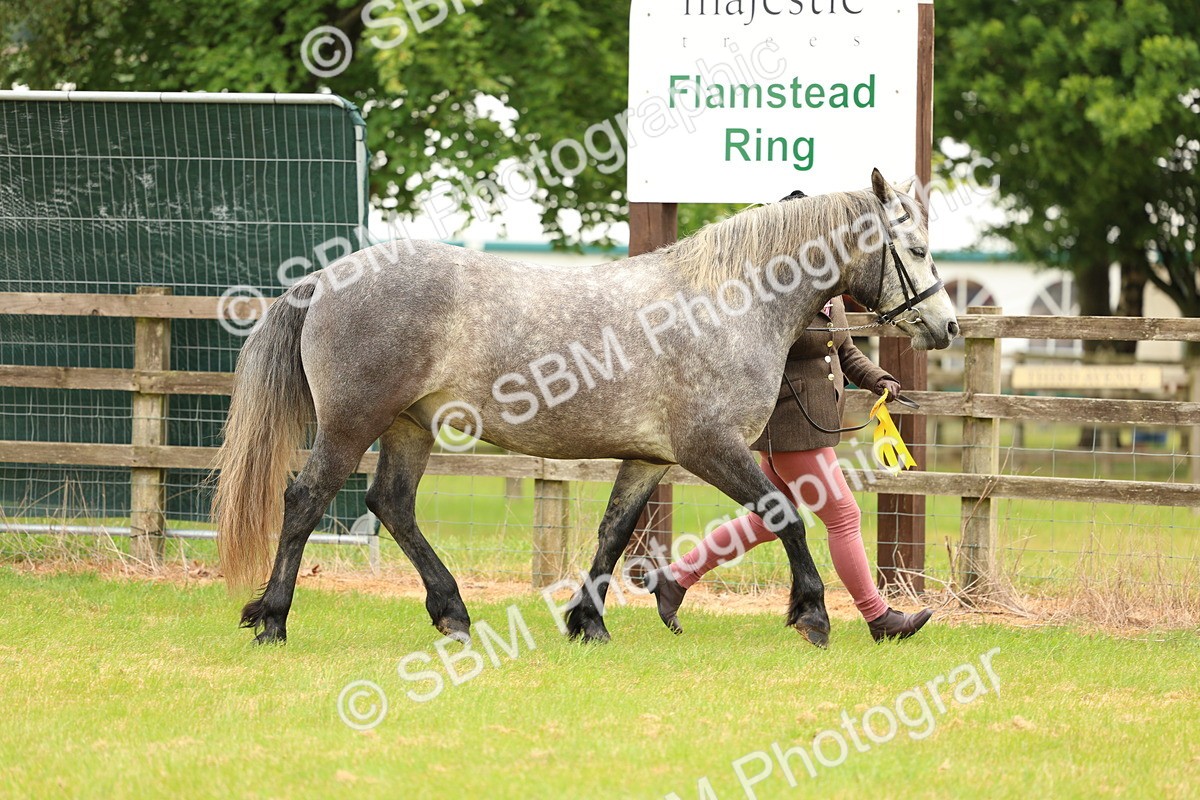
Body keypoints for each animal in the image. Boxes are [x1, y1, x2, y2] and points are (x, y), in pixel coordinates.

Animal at [212, 168, 959, 648]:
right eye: (918, 249)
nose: (946, 326)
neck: (726, 303)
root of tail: (324, 278)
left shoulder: (650, 459)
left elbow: (613, 533)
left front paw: (589, 622)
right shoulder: (710, 447)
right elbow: (785, 516)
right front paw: (811, 615)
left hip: (409, 427)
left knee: (391, 503)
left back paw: (452, 612)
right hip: (351, 424)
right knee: (306, 500)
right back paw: (272, 619)